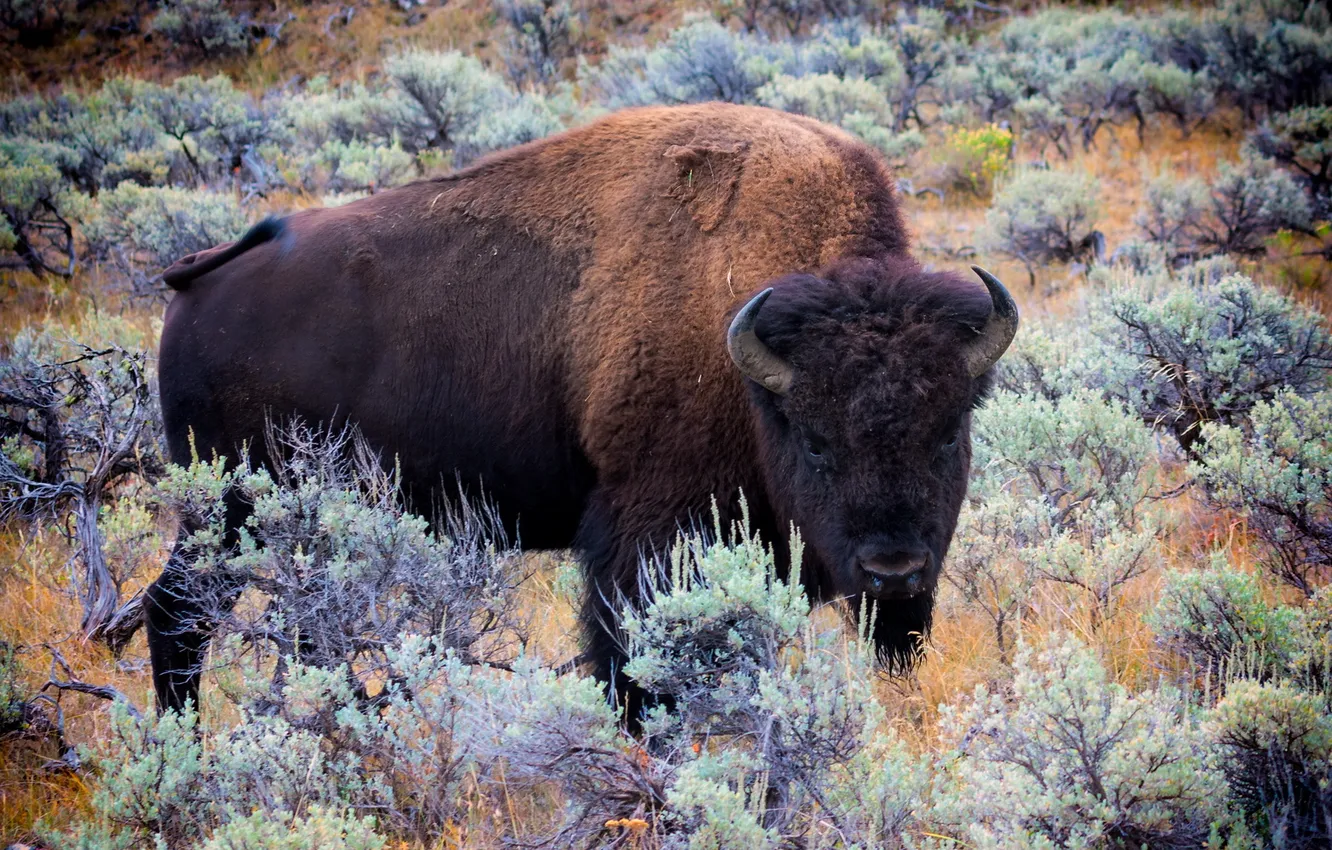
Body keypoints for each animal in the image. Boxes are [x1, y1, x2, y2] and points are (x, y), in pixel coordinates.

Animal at [148, 103, 1017, 724]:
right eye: (813, 441)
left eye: (949, 431)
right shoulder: (644, 536)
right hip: (231, 507)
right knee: (176, 612)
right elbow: (631, 669)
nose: (892, 570)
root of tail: (201, 281)